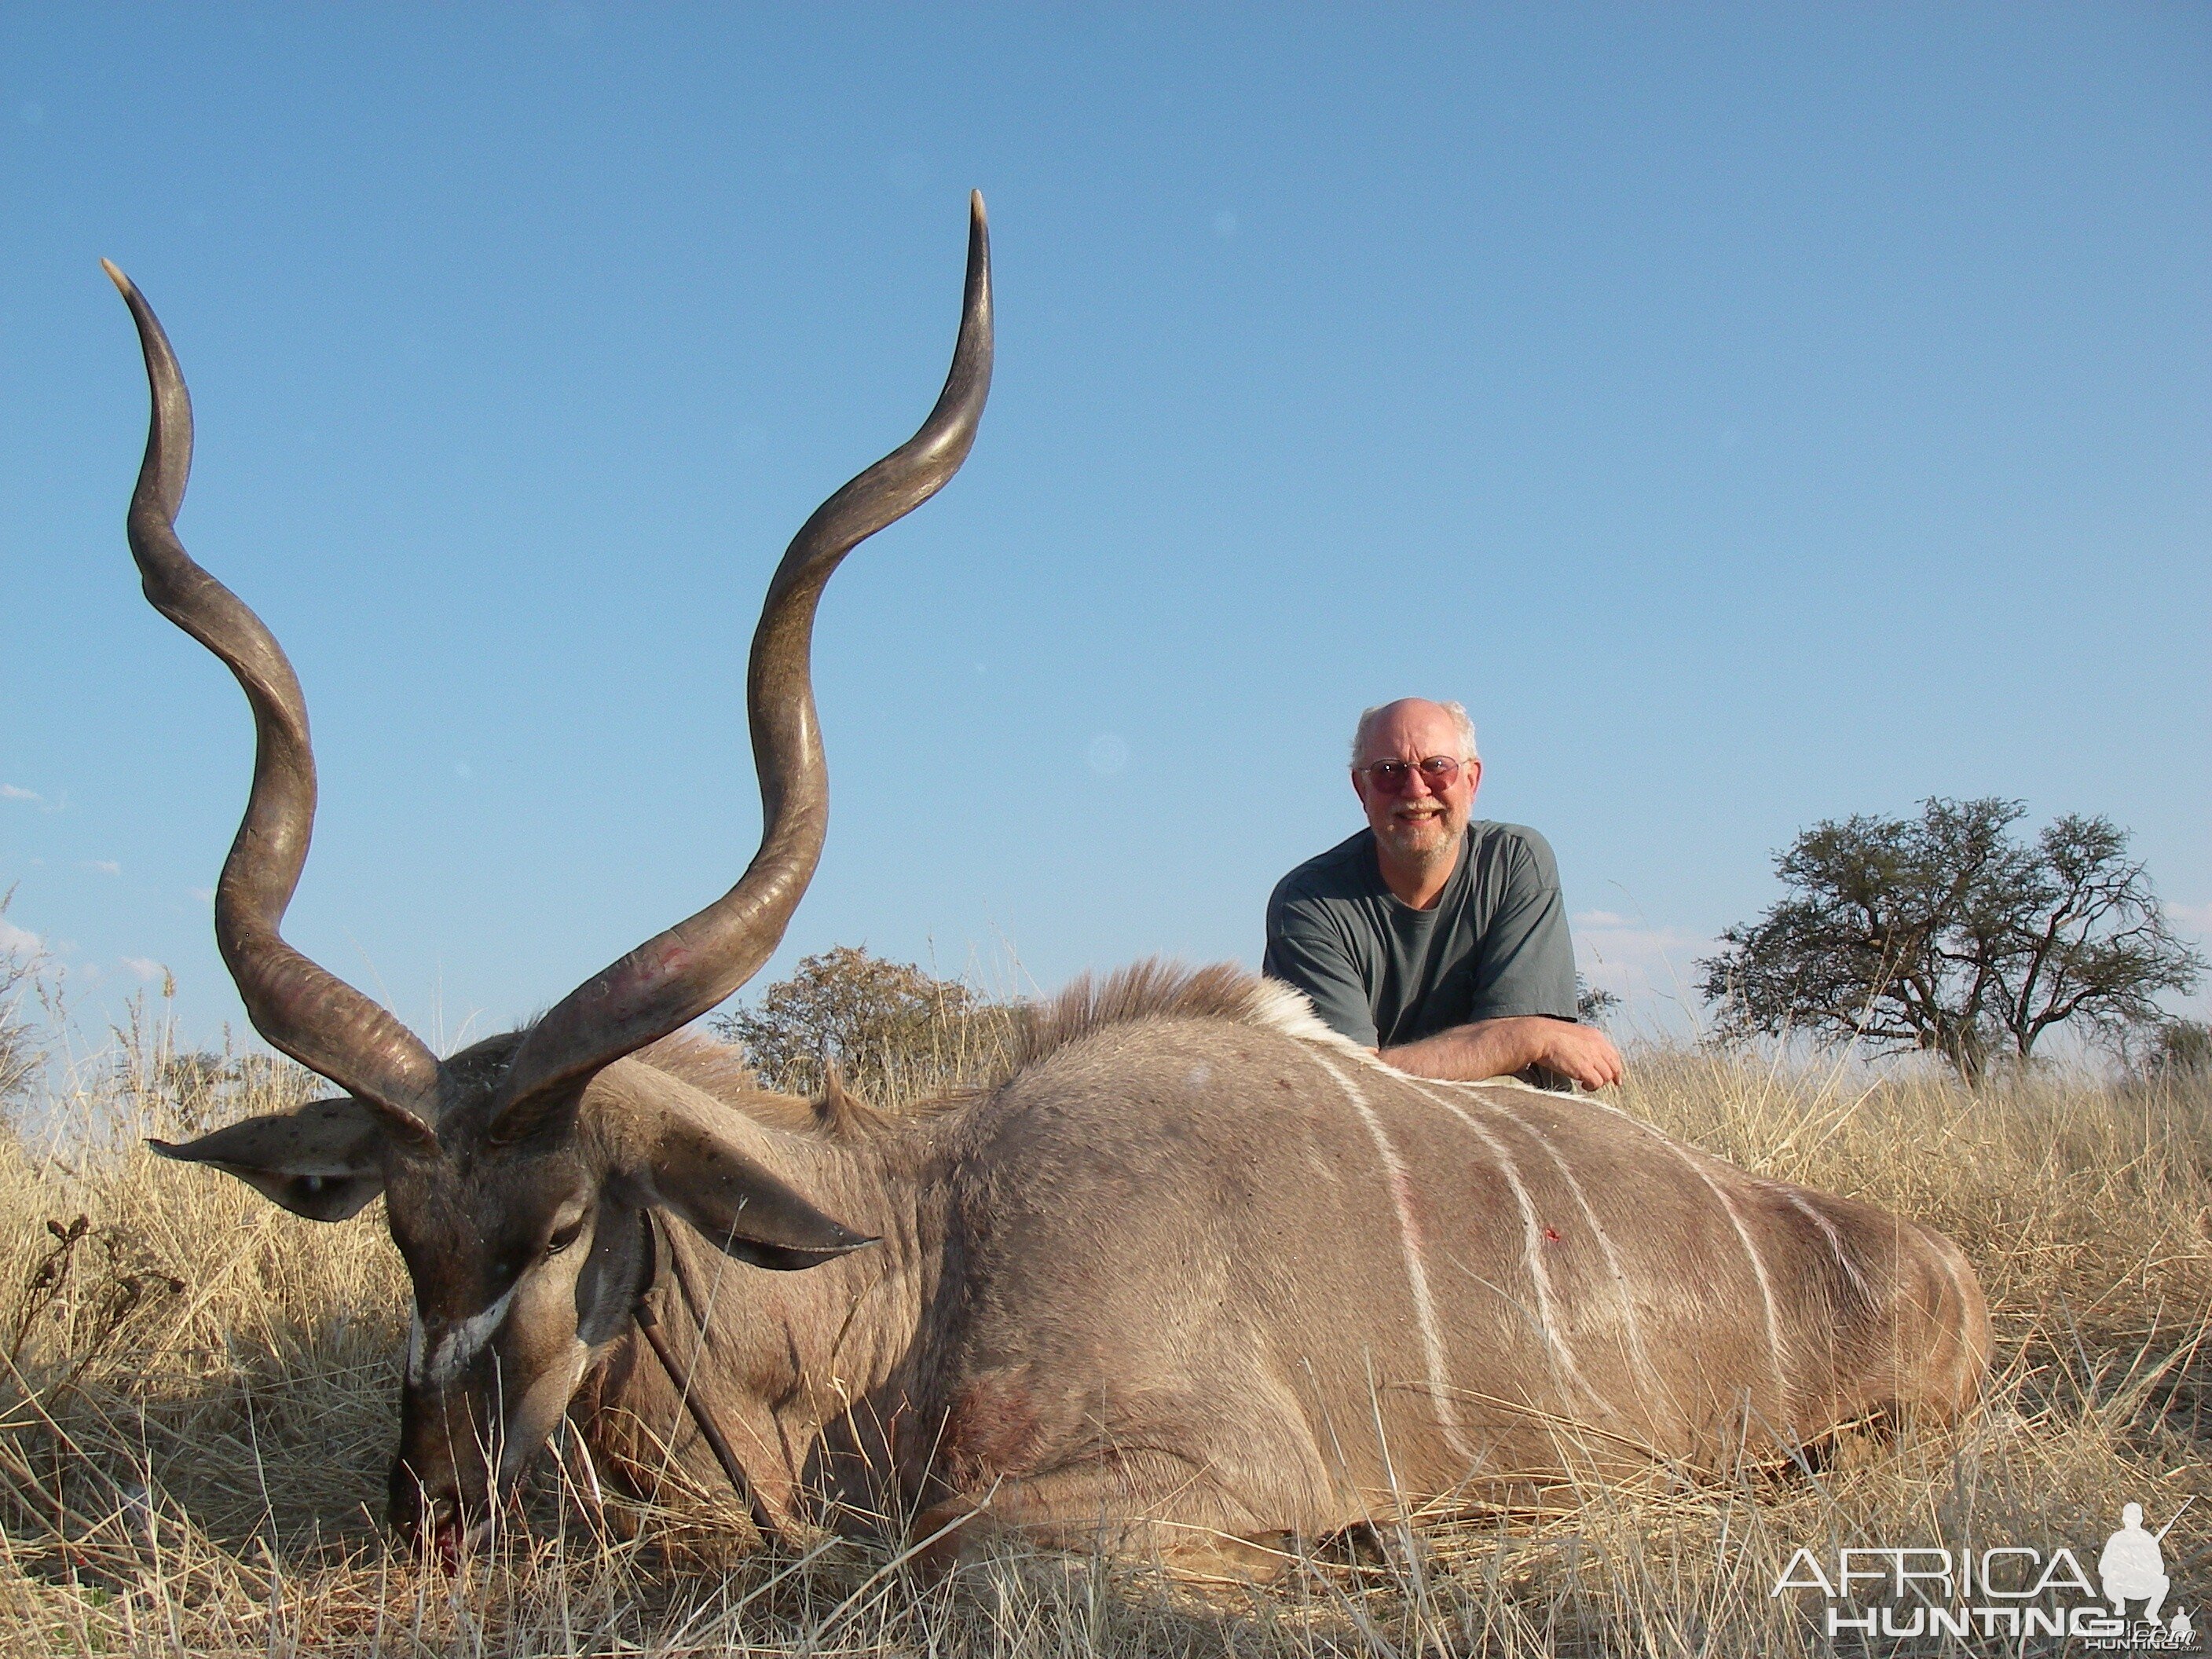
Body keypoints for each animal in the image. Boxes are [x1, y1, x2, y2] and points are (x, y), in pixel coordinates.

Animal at [116, 201, 1990, 1574]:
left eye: (569, 1220)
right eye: (402, 1233)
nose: (431, 1505)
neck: (908, 1259)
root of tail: (1934, 1266)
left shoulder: (1157, 1481)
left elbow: (974, 1544)